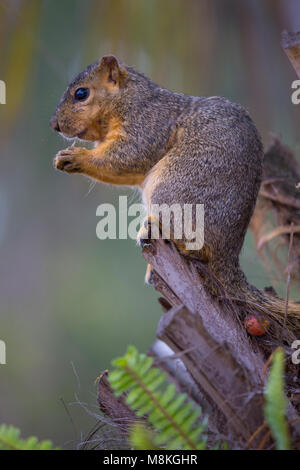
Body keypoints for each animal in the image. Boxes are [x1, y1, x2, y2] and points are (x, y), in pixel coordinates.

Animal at [51, 56, 300, 338]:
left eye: (81, 94)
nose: (54, 125)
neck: (132, 98)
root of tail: (228, 254)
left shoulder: (149, 126)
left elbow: (127, 156)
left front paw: (76, 157)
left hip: (172, 193)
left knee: (198, 248)